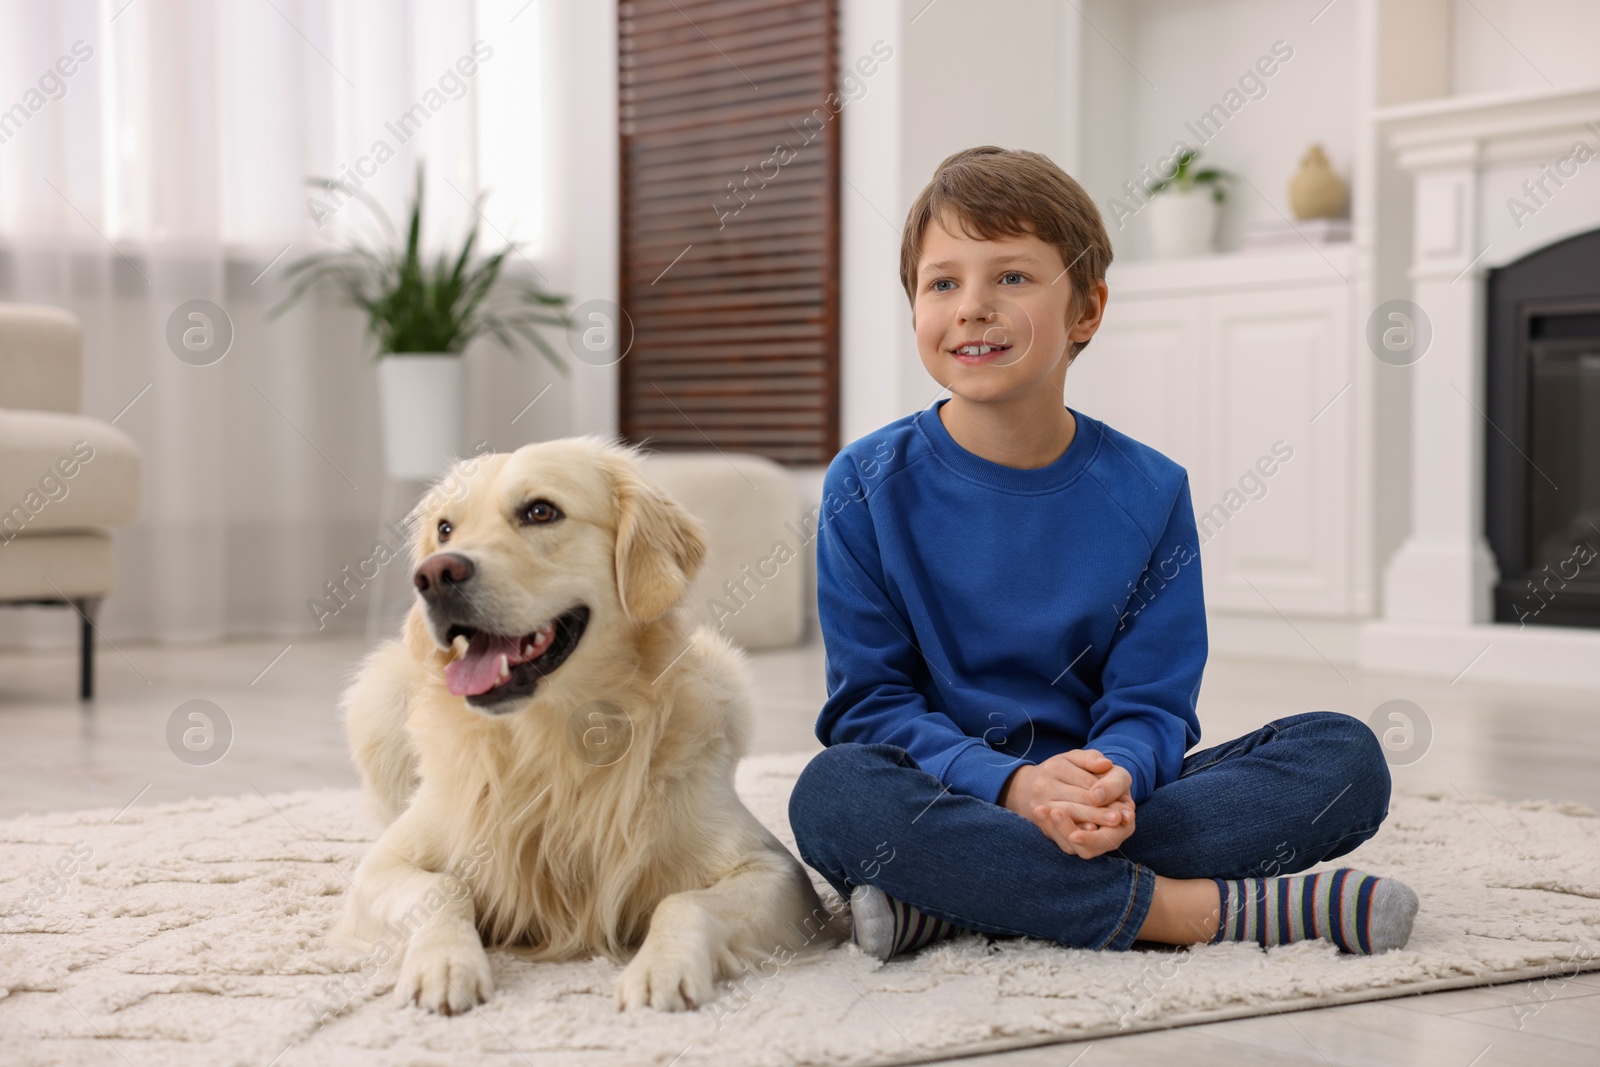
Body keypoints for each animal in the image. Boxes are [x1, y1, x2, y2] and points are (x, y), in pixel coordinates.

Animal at [336, 435, 838, 1017]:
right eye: (444, 528)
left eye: (540, 512)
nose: (434, 575)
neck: (554, 739)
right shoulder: (385, 863)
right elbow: (441, 891)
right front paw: (445, 964)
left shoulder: (777, 874)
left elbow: (682, 901)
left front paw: (662, 968)